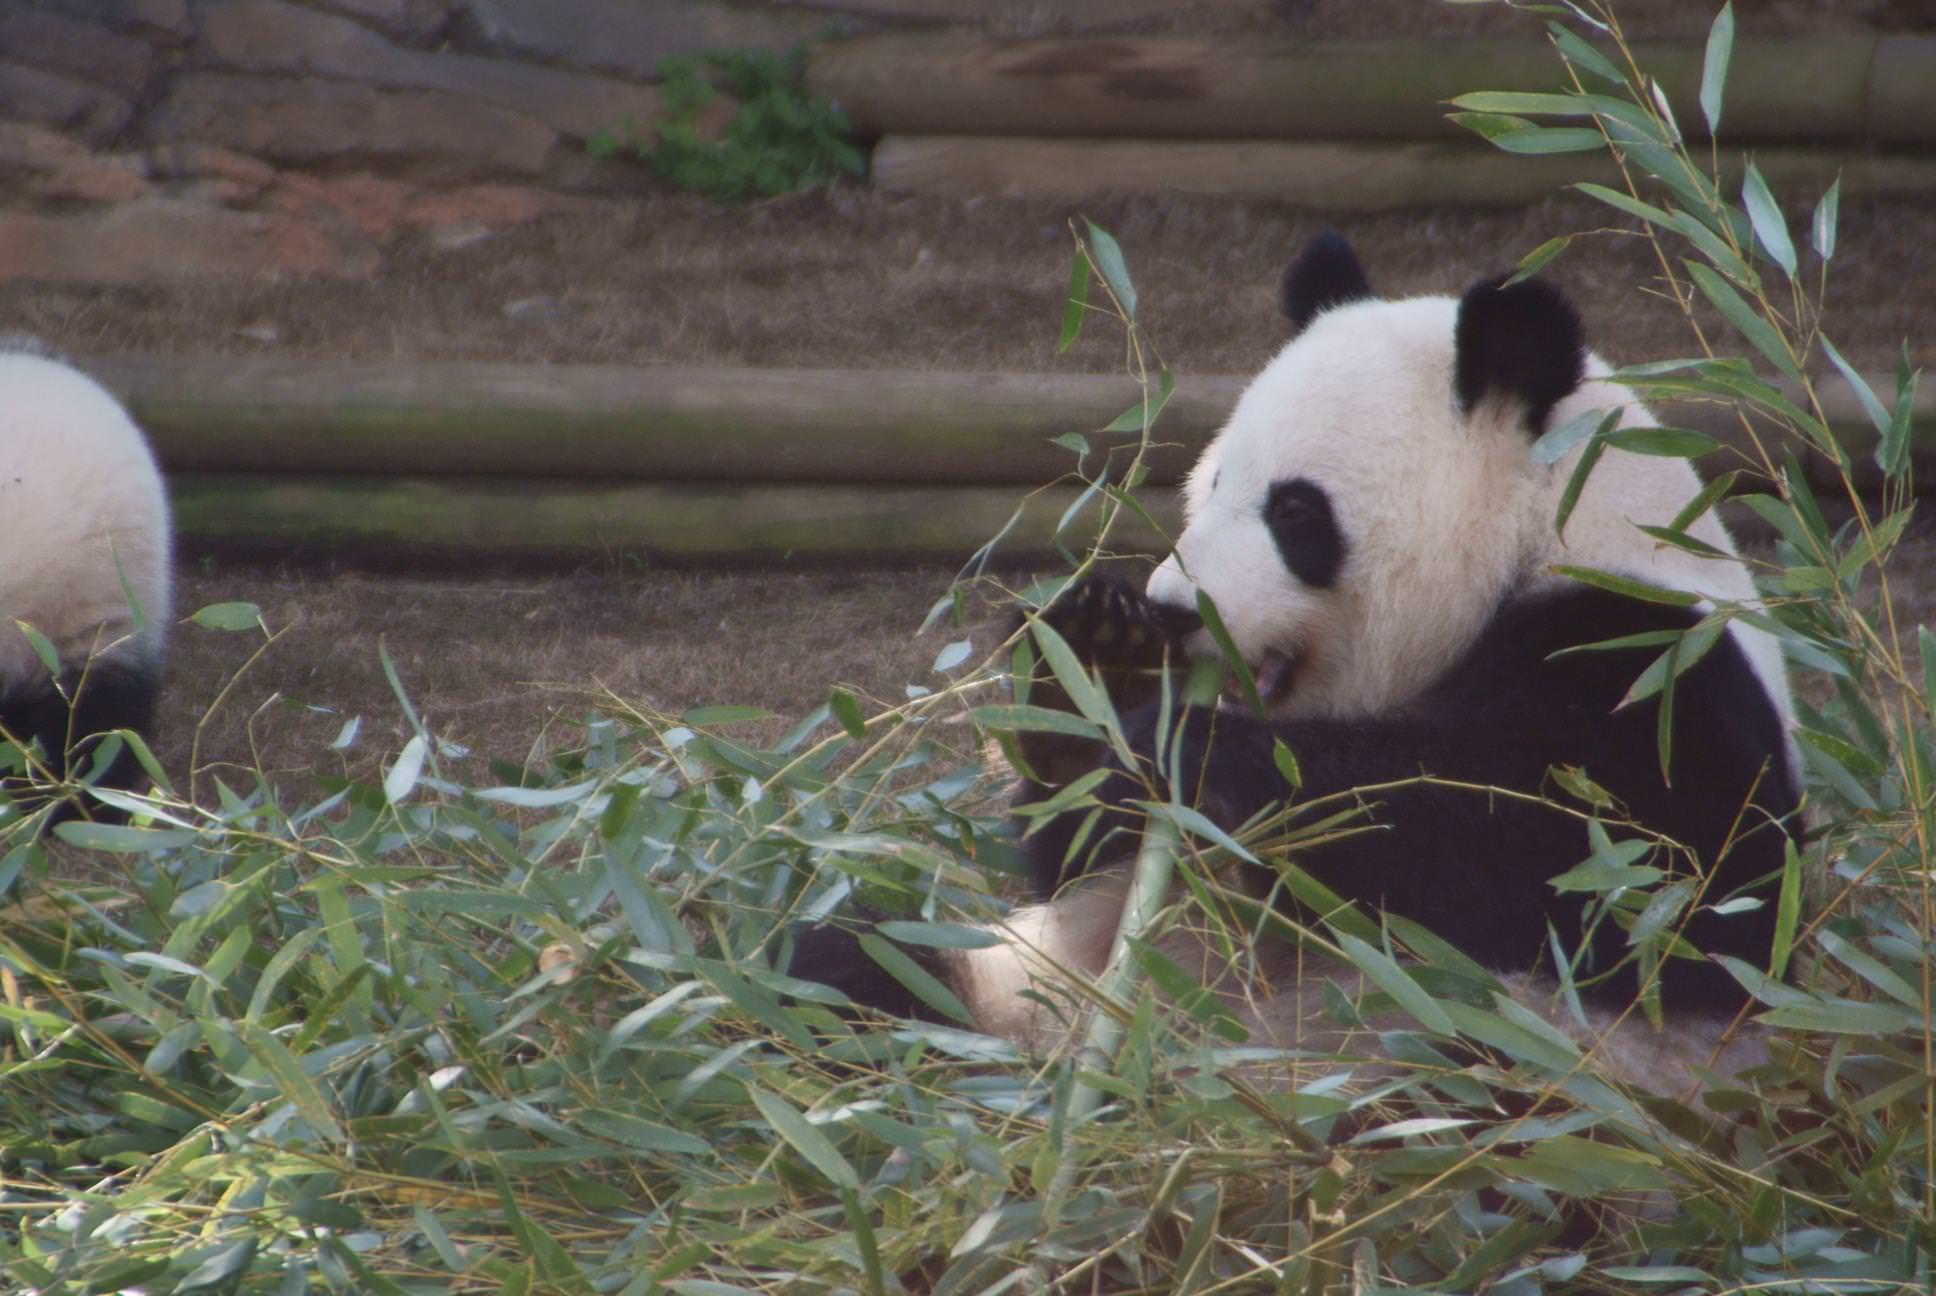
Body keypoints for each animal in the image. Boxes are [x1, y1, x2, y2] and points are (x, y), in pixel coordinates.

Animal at [792, 232, 1799, 1100]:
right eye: (1212, 483)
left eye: (1295, 513)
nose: (1172, 607)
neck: (1547, 524)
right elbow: (1074, 853)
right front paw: (1099, 659)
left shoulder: (1653, 669)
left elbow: (1619, 876)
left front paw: (1183, 749)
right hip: (1014, 982)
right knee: (847, 970)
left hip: (1521, 1058)